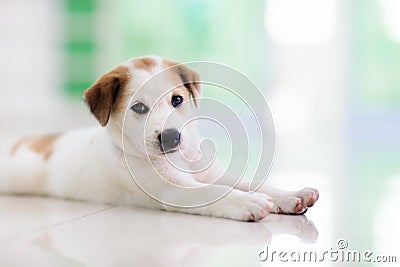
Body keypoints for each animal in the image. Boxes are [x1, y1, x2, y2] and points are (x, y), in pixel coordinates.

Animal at [0, 56, 318, 222]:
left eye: (177, 100)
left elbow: (251, 183)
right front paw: (247, 203)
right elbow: (214, 192)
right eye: (139, 108)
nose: (171, 137)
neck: (181, 160)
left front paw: (290, 195)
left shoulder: (215, 174)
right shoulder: (174, 191)